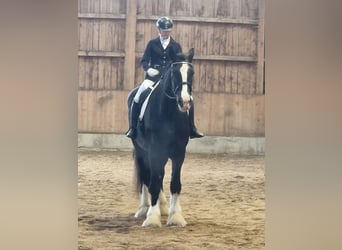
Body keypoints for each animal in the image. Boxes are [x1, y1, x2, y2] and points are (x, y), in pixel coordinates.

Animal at [127, 47, 195, 228]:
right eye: (174, 73)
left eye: (191, 73)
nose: (185, 101)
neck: (169, 113)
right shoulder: (154, 151)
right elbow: (154, 182)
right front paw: (152, 217)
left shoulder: (179, 153)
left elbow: (174, 183)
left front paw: (175, 216)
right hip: (141, 150)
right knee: (146, 176)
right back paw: (144, 208)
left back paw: (163, 206)